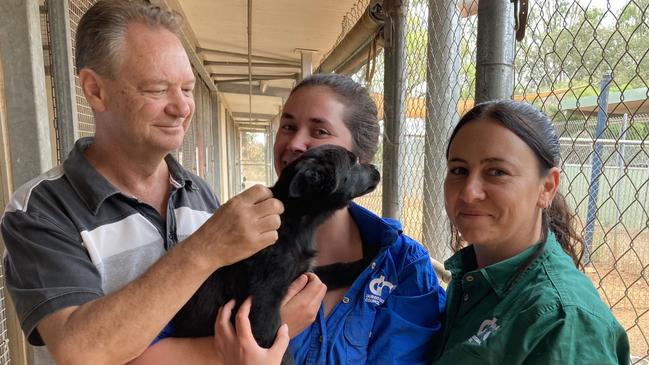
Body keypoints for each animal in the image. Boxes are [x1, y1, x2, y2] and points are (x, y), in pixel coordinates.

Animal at [171, 144, 380, 362]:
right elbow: (280, 349)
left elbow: (336, 268)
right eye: (354, 162)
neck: (295, 220)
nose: (376, 169)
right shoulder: (264, 303)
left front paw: (370, 256)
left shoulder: (304, 272)